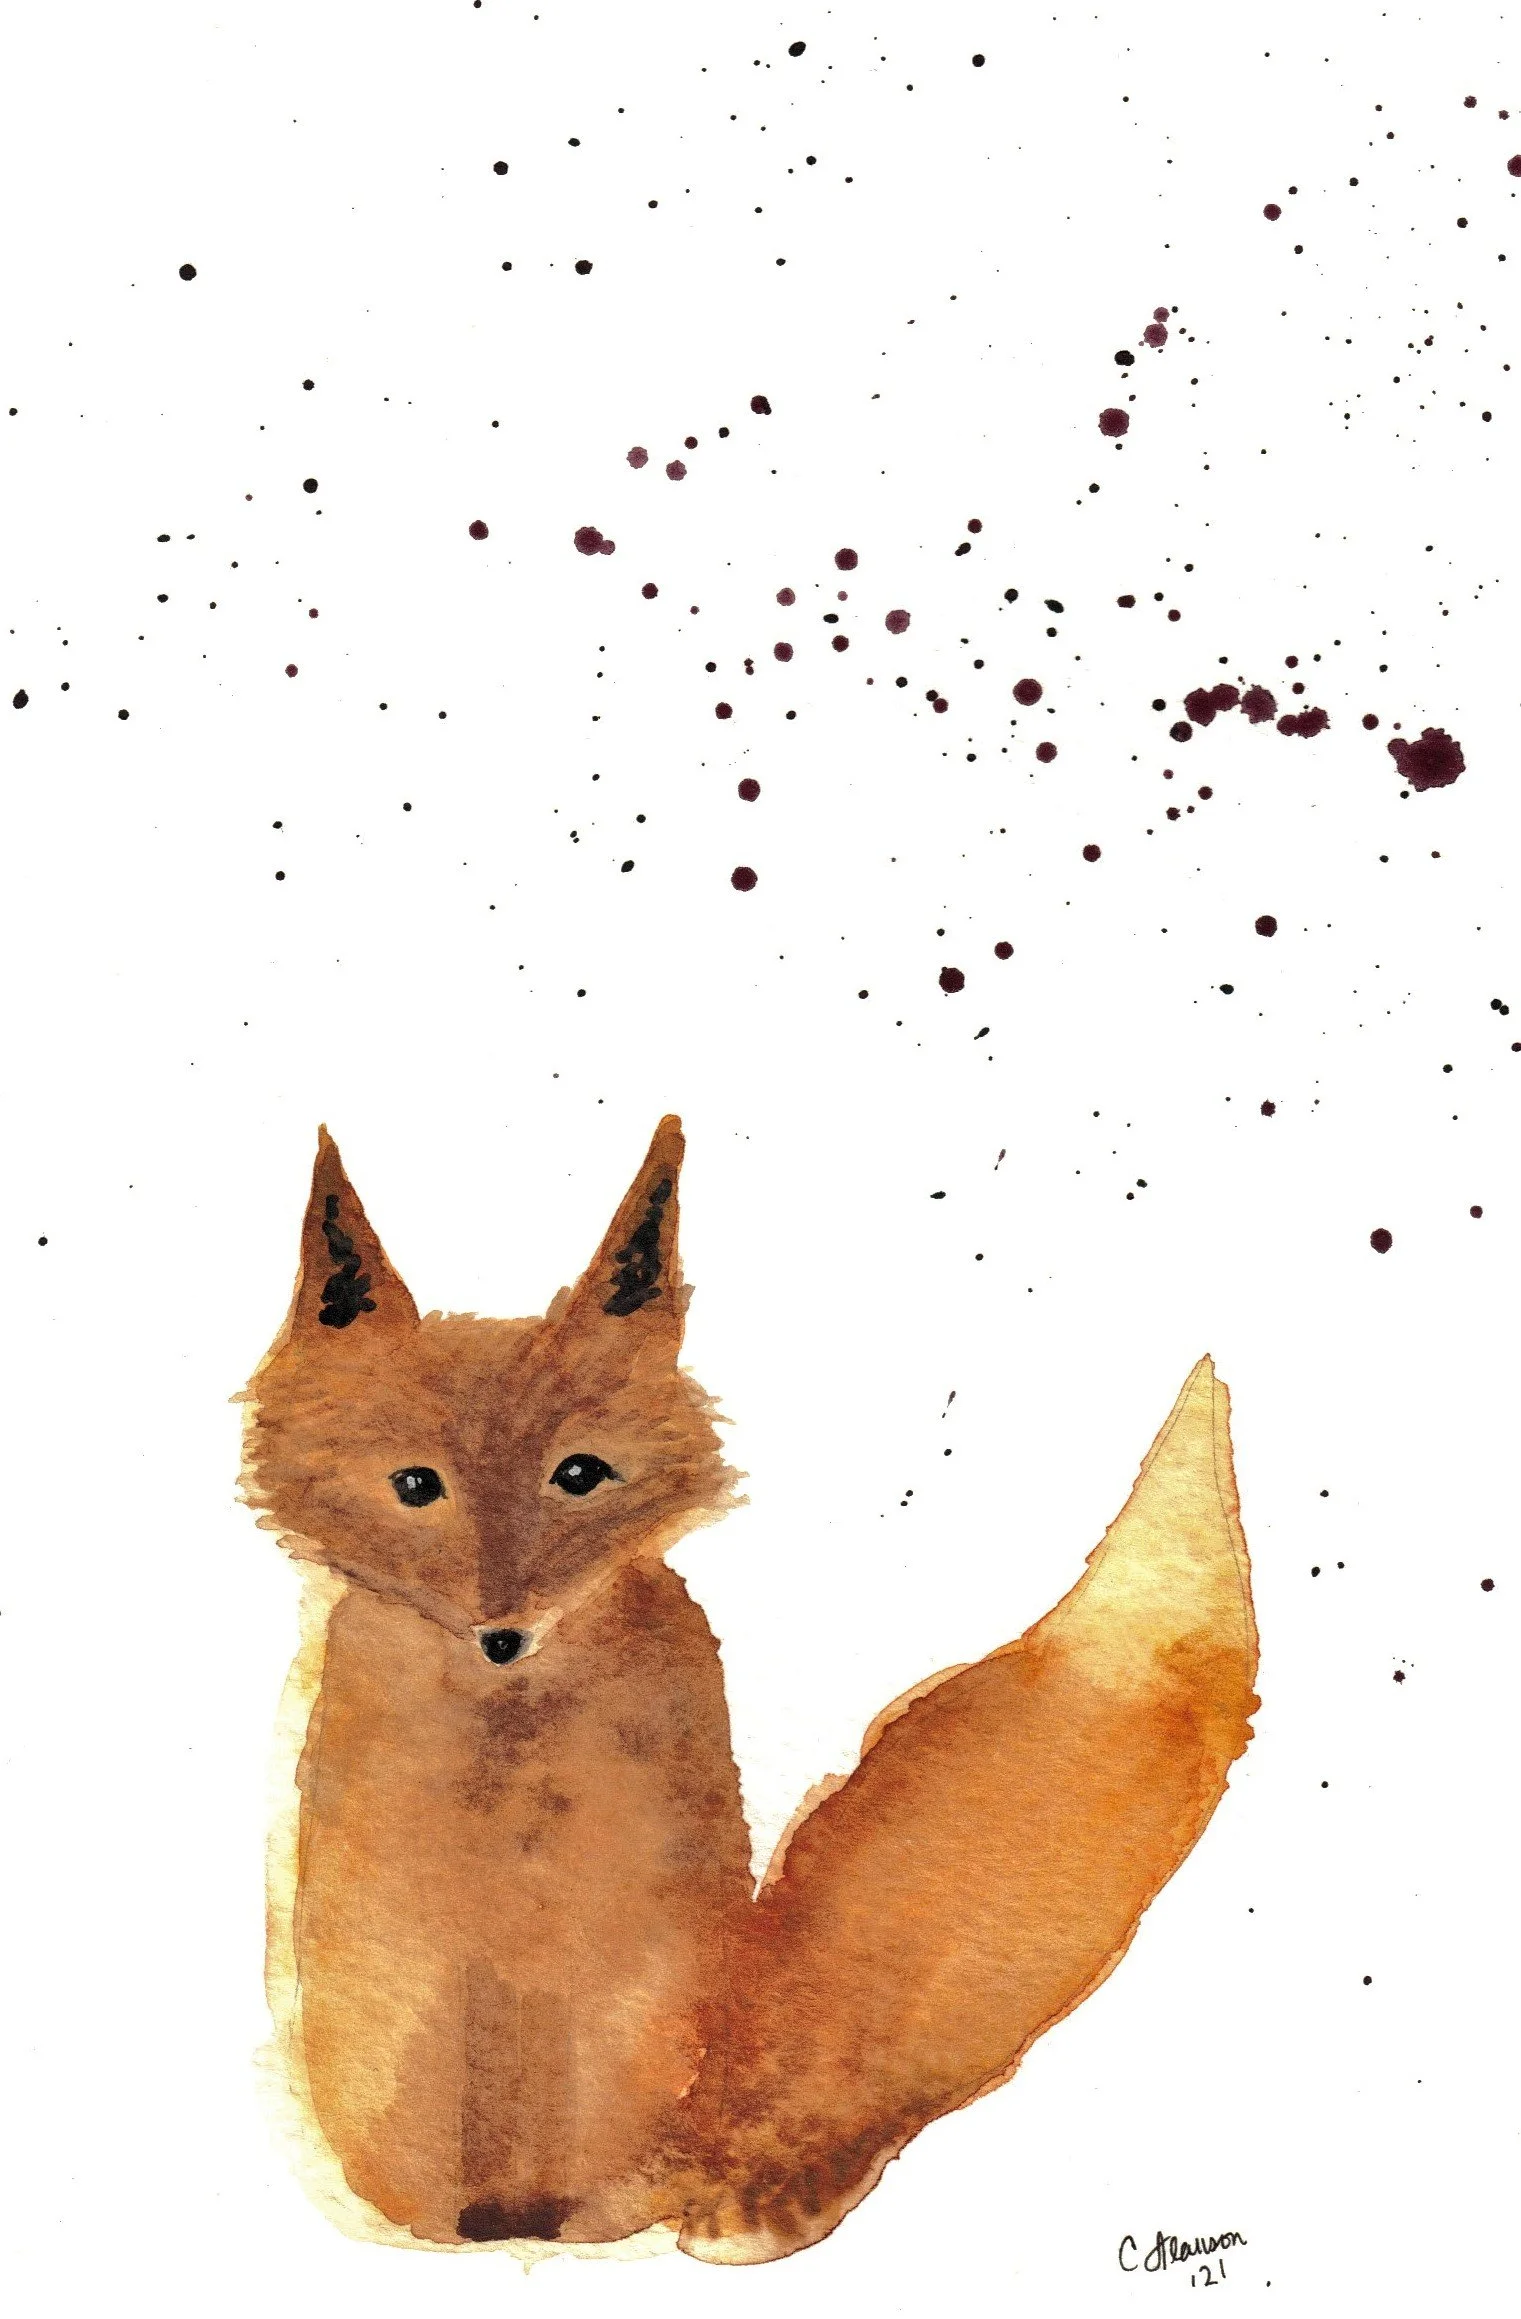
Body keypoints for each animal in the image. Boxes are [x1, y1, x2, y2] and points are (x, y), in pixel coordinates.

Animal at [240, 1117, 1258, 2264]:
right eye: (416, 1486)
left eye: (579, 1475)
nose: (504, 1633)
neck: (507, 1775)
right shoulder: (399, 1972)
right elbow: (425, 2137)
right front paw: (465, 2231)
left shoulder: (627, 1979)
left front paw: (594, 2221)